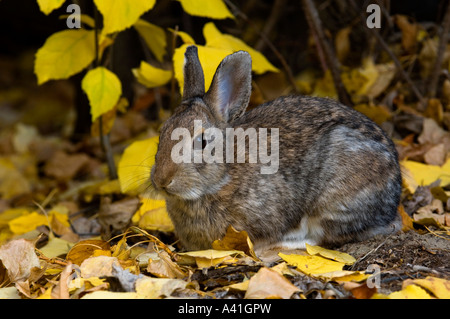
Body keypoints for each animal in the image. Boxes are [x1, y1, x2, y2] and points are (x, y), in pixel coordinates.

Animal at [149, 45, 402, 255]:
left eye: (202, 142)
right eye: (162, 135)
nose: (162, 180)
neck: (222, 177)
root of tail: (394, 192)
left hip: (336, 193)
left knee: (323, 237)